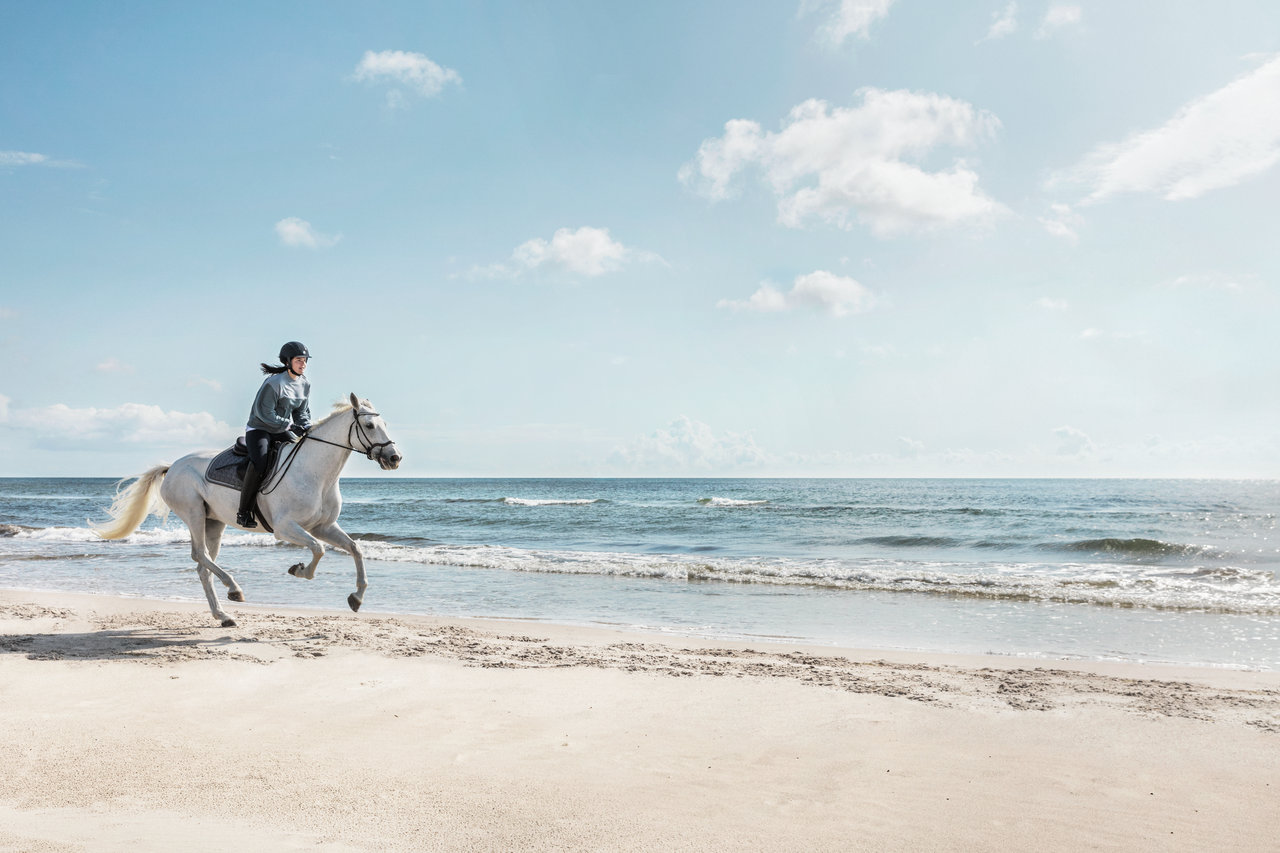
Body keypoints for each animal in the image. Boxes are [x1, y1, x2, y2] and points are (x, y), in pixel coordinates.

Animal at [91, 391, 399, 625]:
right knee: (199, 555)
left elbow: (355, 548)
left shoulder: (322, 527)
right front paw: (299, 570)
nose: (394, 458)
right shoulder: (286, 528)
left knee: (203, 566)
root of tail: (173, 466)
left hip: (214, 523)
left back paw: (223, 615)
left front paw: (356, 598)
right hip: (193, 513)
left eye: (385, 423)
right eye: (369, 426)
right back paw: (234, 589)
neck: (316, 473)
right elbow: (318, 550)